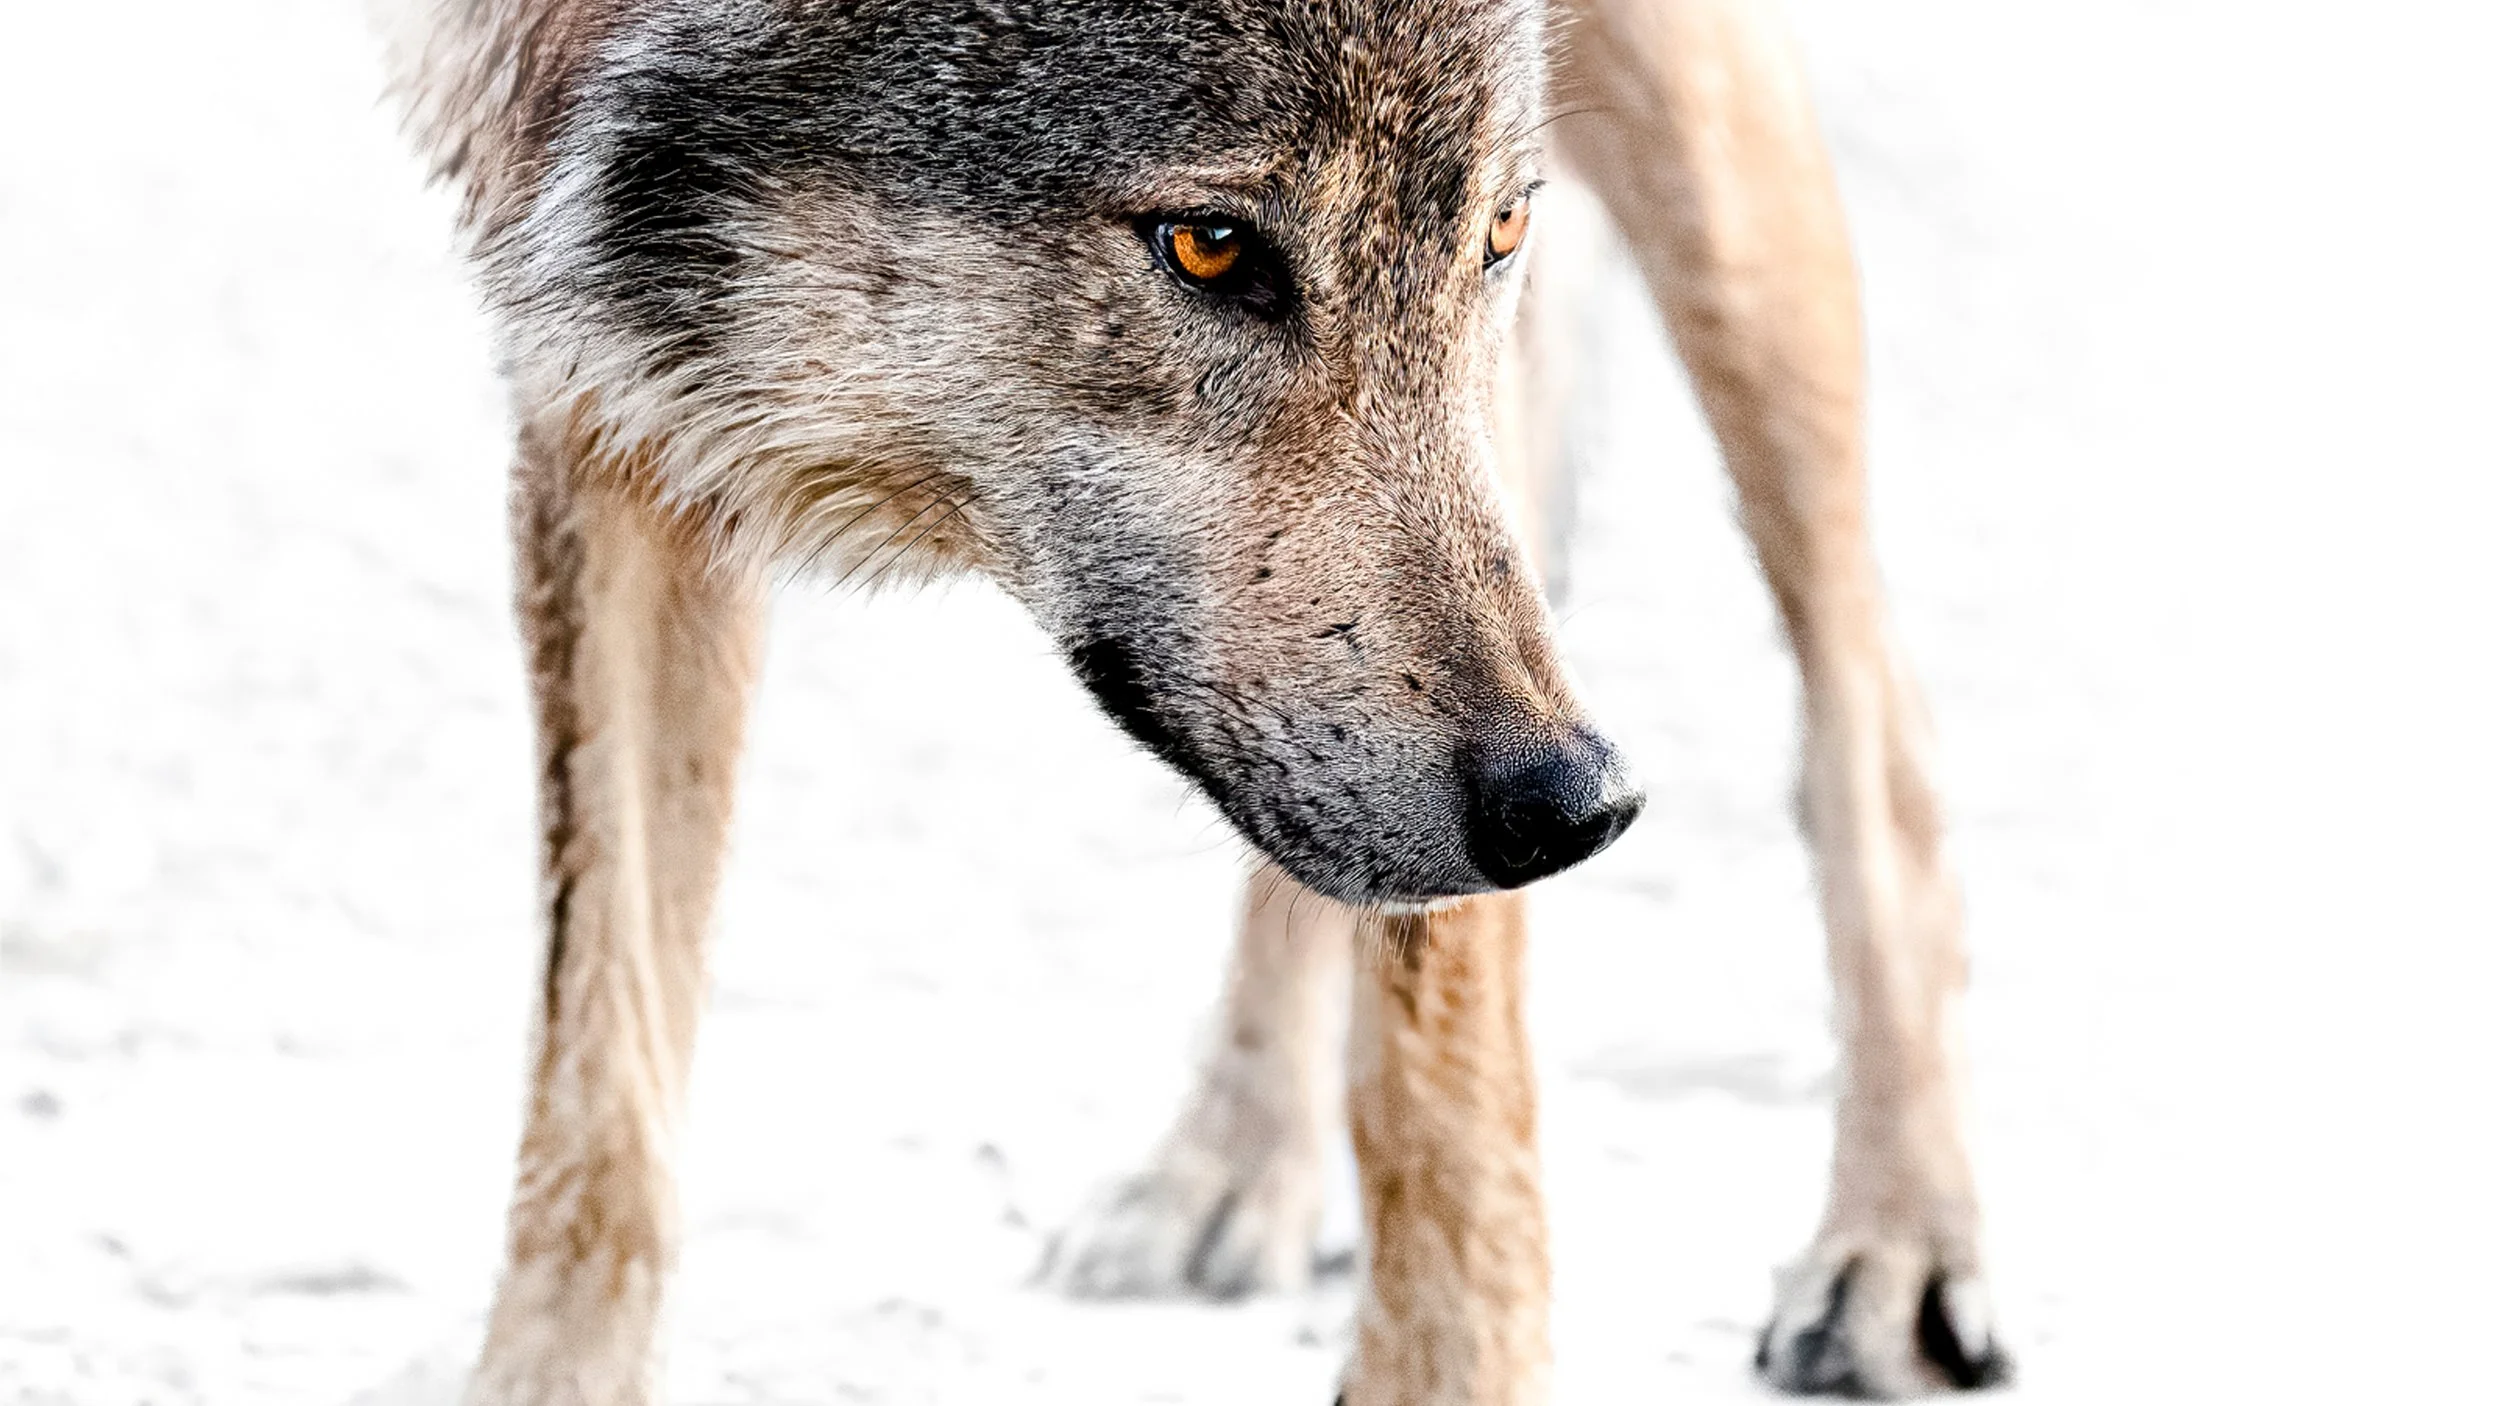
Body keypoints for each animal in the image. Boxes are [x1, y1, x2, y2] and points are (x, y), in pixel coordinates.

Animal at [386, 0, 2007, 1400]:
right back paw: (1234, 1163)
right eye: (1212, 247)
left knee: (1875, 718)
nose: (1577, 808)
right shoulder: (593, 359)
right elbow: (603, 1096)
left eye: (1498, 229)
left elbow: (1448, 1087)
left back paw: (1897, 1249)